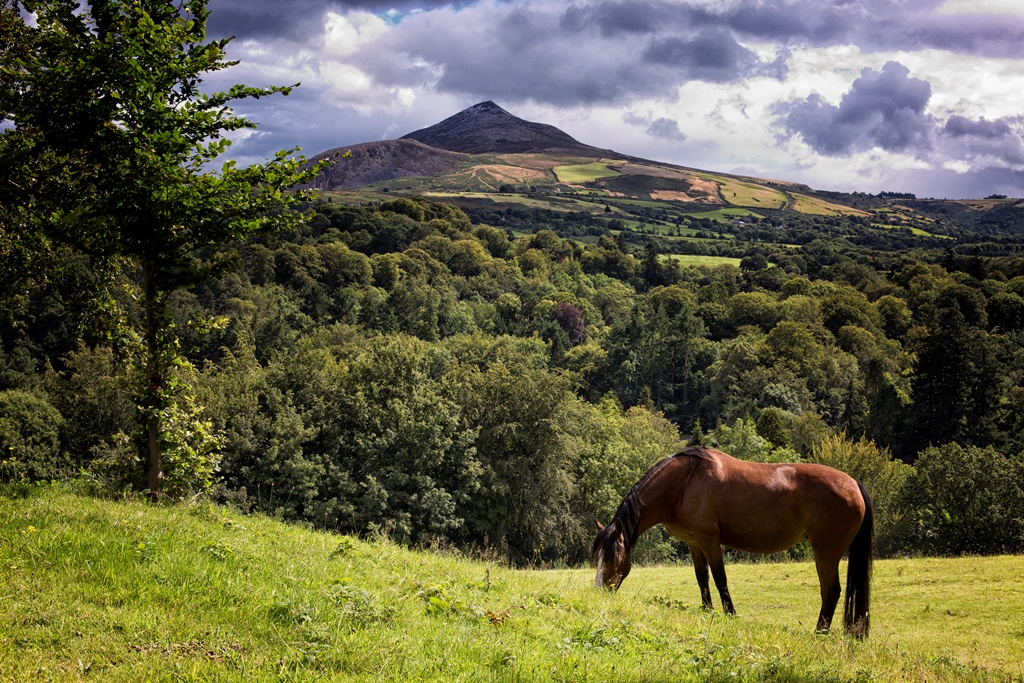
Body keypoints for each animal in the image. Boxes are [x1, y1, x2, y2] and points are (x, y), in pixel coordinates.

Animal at [592, 446, 873, 637]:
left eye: (614, 557)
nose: (599, 591)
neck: (684, 482)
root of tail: (854, 484)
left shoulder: (709, 540)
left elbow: (720, 578)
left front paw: (730, 614)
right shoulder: (694, 542)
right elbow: (702, 578)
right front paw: (707, 611)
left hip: (826, 552)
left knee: (831, 591)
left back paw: (819, 633)